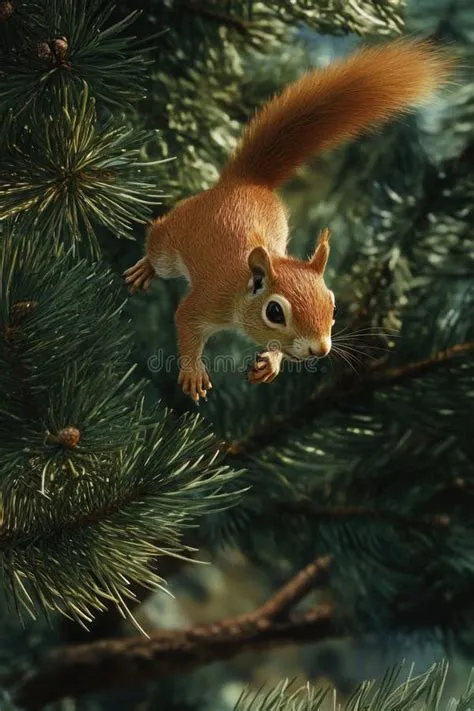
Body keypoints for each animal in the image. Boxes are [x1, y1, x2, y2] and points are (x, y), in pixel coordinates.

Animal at [124, 37, 454, 402]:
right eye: (275, 312)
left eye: (333, 307)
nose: (320, 350)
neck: (241, 292)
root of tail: (246, 182)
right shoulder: (208, 301)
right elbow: (184, 322)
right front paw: (194, 374)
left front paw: (271, 362)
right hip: (173, 243)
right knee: (158, 243)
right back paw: (144, 269)